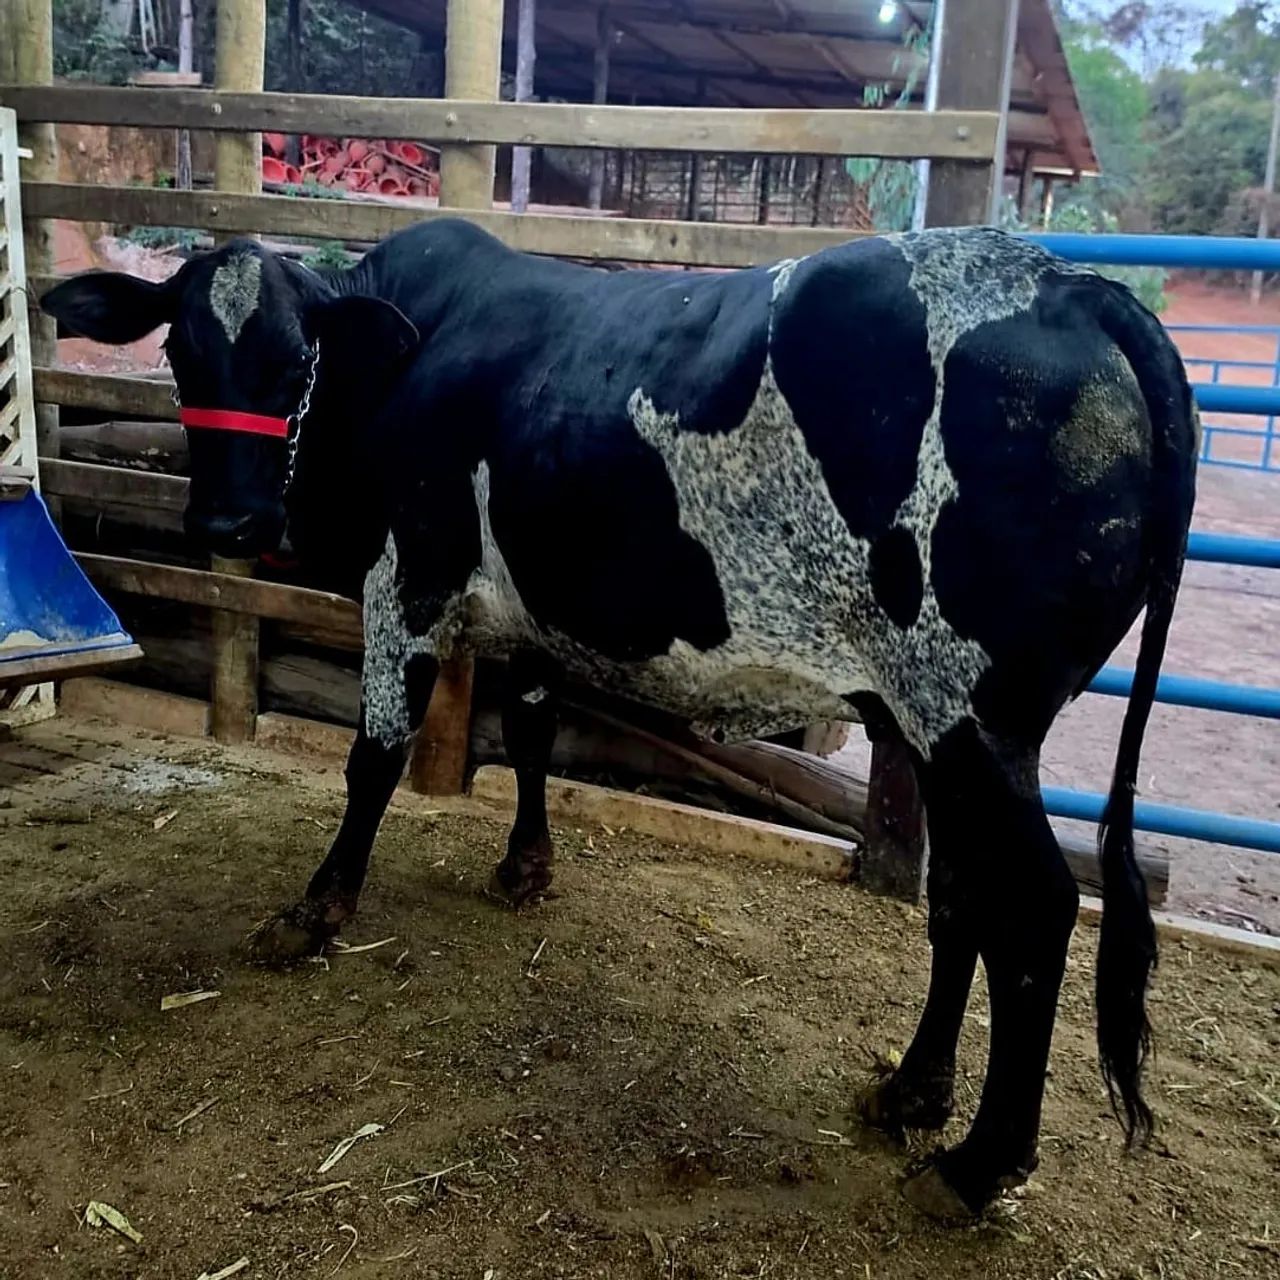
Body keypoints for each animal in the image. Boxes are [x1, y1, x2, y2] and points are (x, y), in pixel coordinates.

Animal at [41, 218, 1198, 1223]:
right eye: (181, 351)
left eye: (292, 360)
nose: (227, 520)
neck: (399, 359)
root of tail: (1068, 287)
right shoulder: (528, 614)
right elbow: (532, 733)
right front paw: (524, 866)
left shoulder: (408, 576)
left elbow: (374, 758)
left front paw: (317, 908)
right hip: (934, 725)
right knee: (960, 896)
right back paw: (910, 1091)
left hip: (972, 720)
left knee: (1037, 909)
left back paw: (978, 1163)